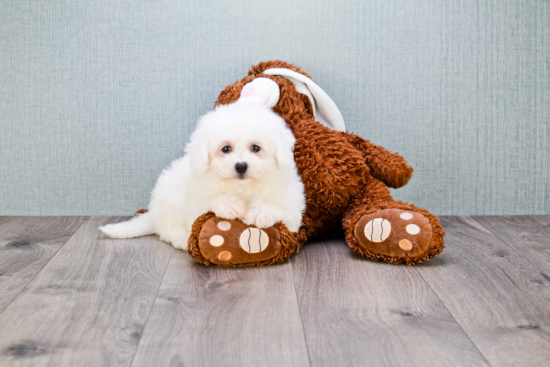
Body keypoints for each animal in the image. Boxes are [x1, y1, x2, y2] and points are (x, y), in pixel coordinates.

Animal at [99, 100, 306, 250]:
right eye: (226, 149)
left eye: (256, 148)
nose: (241, 166)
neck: (243, 189)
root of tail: (153, 212)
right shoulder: (197, 203)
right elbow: (209, 204)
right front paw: (229, 205)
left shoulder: (293, 211)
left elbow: (282, 211)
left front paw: (260, 212)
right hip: (171, 199)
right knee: (167, 229)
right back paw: (183, 239)